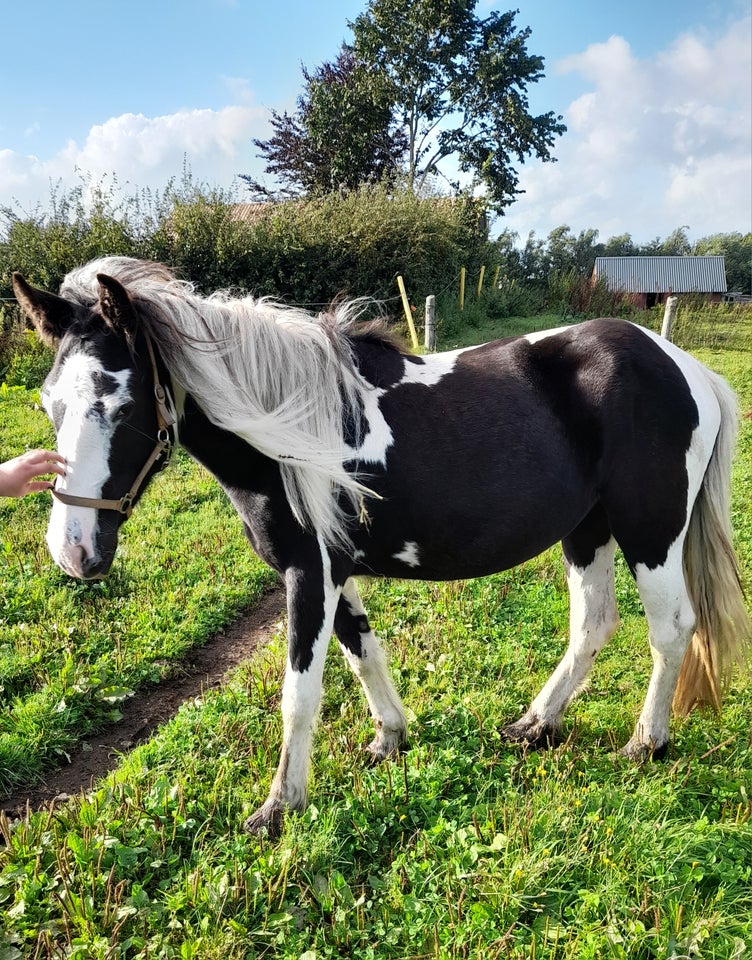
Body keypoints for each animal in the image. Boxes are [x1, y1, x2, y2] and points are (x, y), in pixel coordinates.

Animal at [13, 258, 752, 836]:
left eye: (121, 403)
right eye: (50, 401)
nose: (73, 552)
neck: (285, 430)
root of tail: (686, 369)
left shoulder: (307, 573)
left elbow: (299, 692)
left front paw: (278, 808)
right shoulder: (332, 572)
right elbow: (363, 652)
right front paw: (389, 738)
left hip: (650, 532)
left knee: (671, 629)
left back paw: (644, 743)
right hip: (587, 530)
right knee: (594, 624)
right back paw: (535, 725)